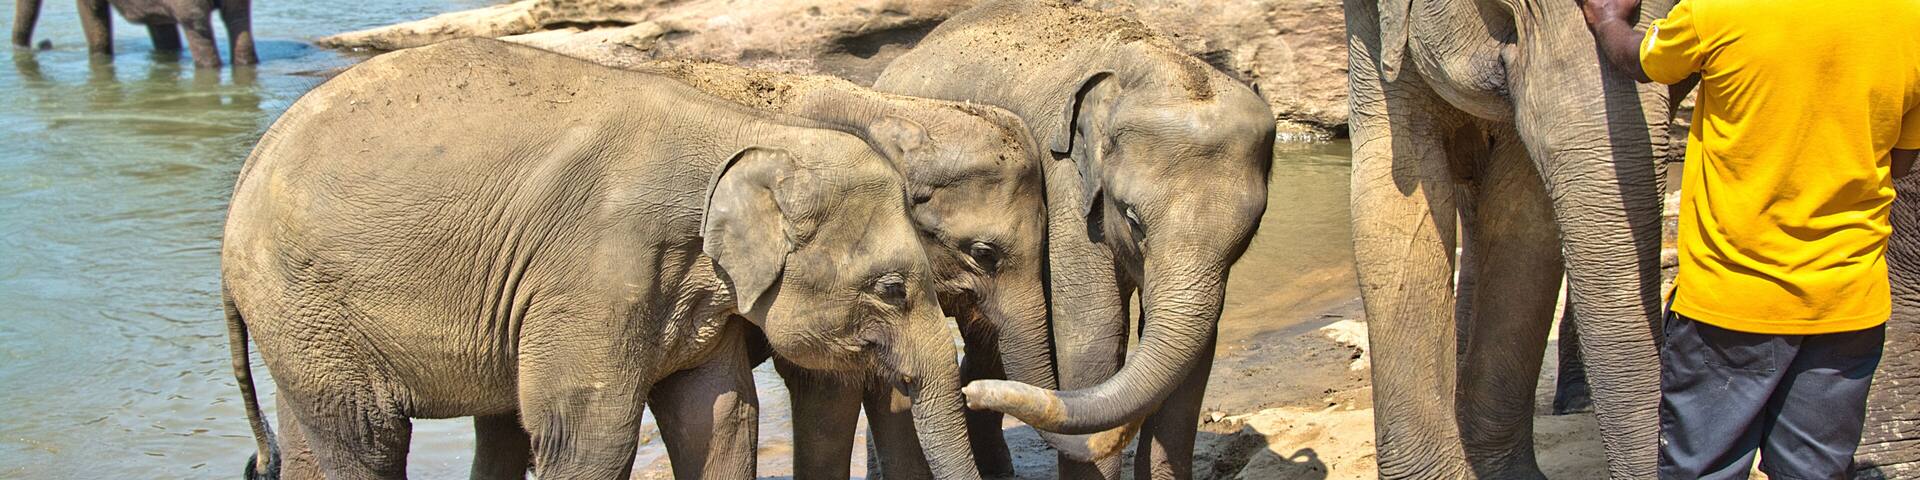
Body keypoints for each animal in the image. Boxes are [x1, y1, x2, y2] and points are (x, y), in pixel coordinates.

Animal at [11, 0, 255, 68]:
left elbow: (92, 12)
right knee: (239, 19)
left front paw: (100, 57)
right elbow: (161, 28)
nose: (44, 43)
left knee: (196, 24)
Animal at [219, 38, 979, 480]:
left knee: (316, 435)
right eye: (890, 288)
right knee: (367, 436)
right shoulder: (594, 271)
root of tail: (252, 161)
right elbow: (588, 433)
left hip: (303, 322)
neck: (753, 129)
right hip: (304, 295)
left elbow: (720, 418)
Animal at [875, 1, 1277, 478]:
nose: (972, 396)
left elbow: (1198, 351)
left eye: (1250, 231)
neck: (1156, 65)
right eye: (1132, 217)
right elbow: (1095, 337)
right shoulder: (1067, 184)